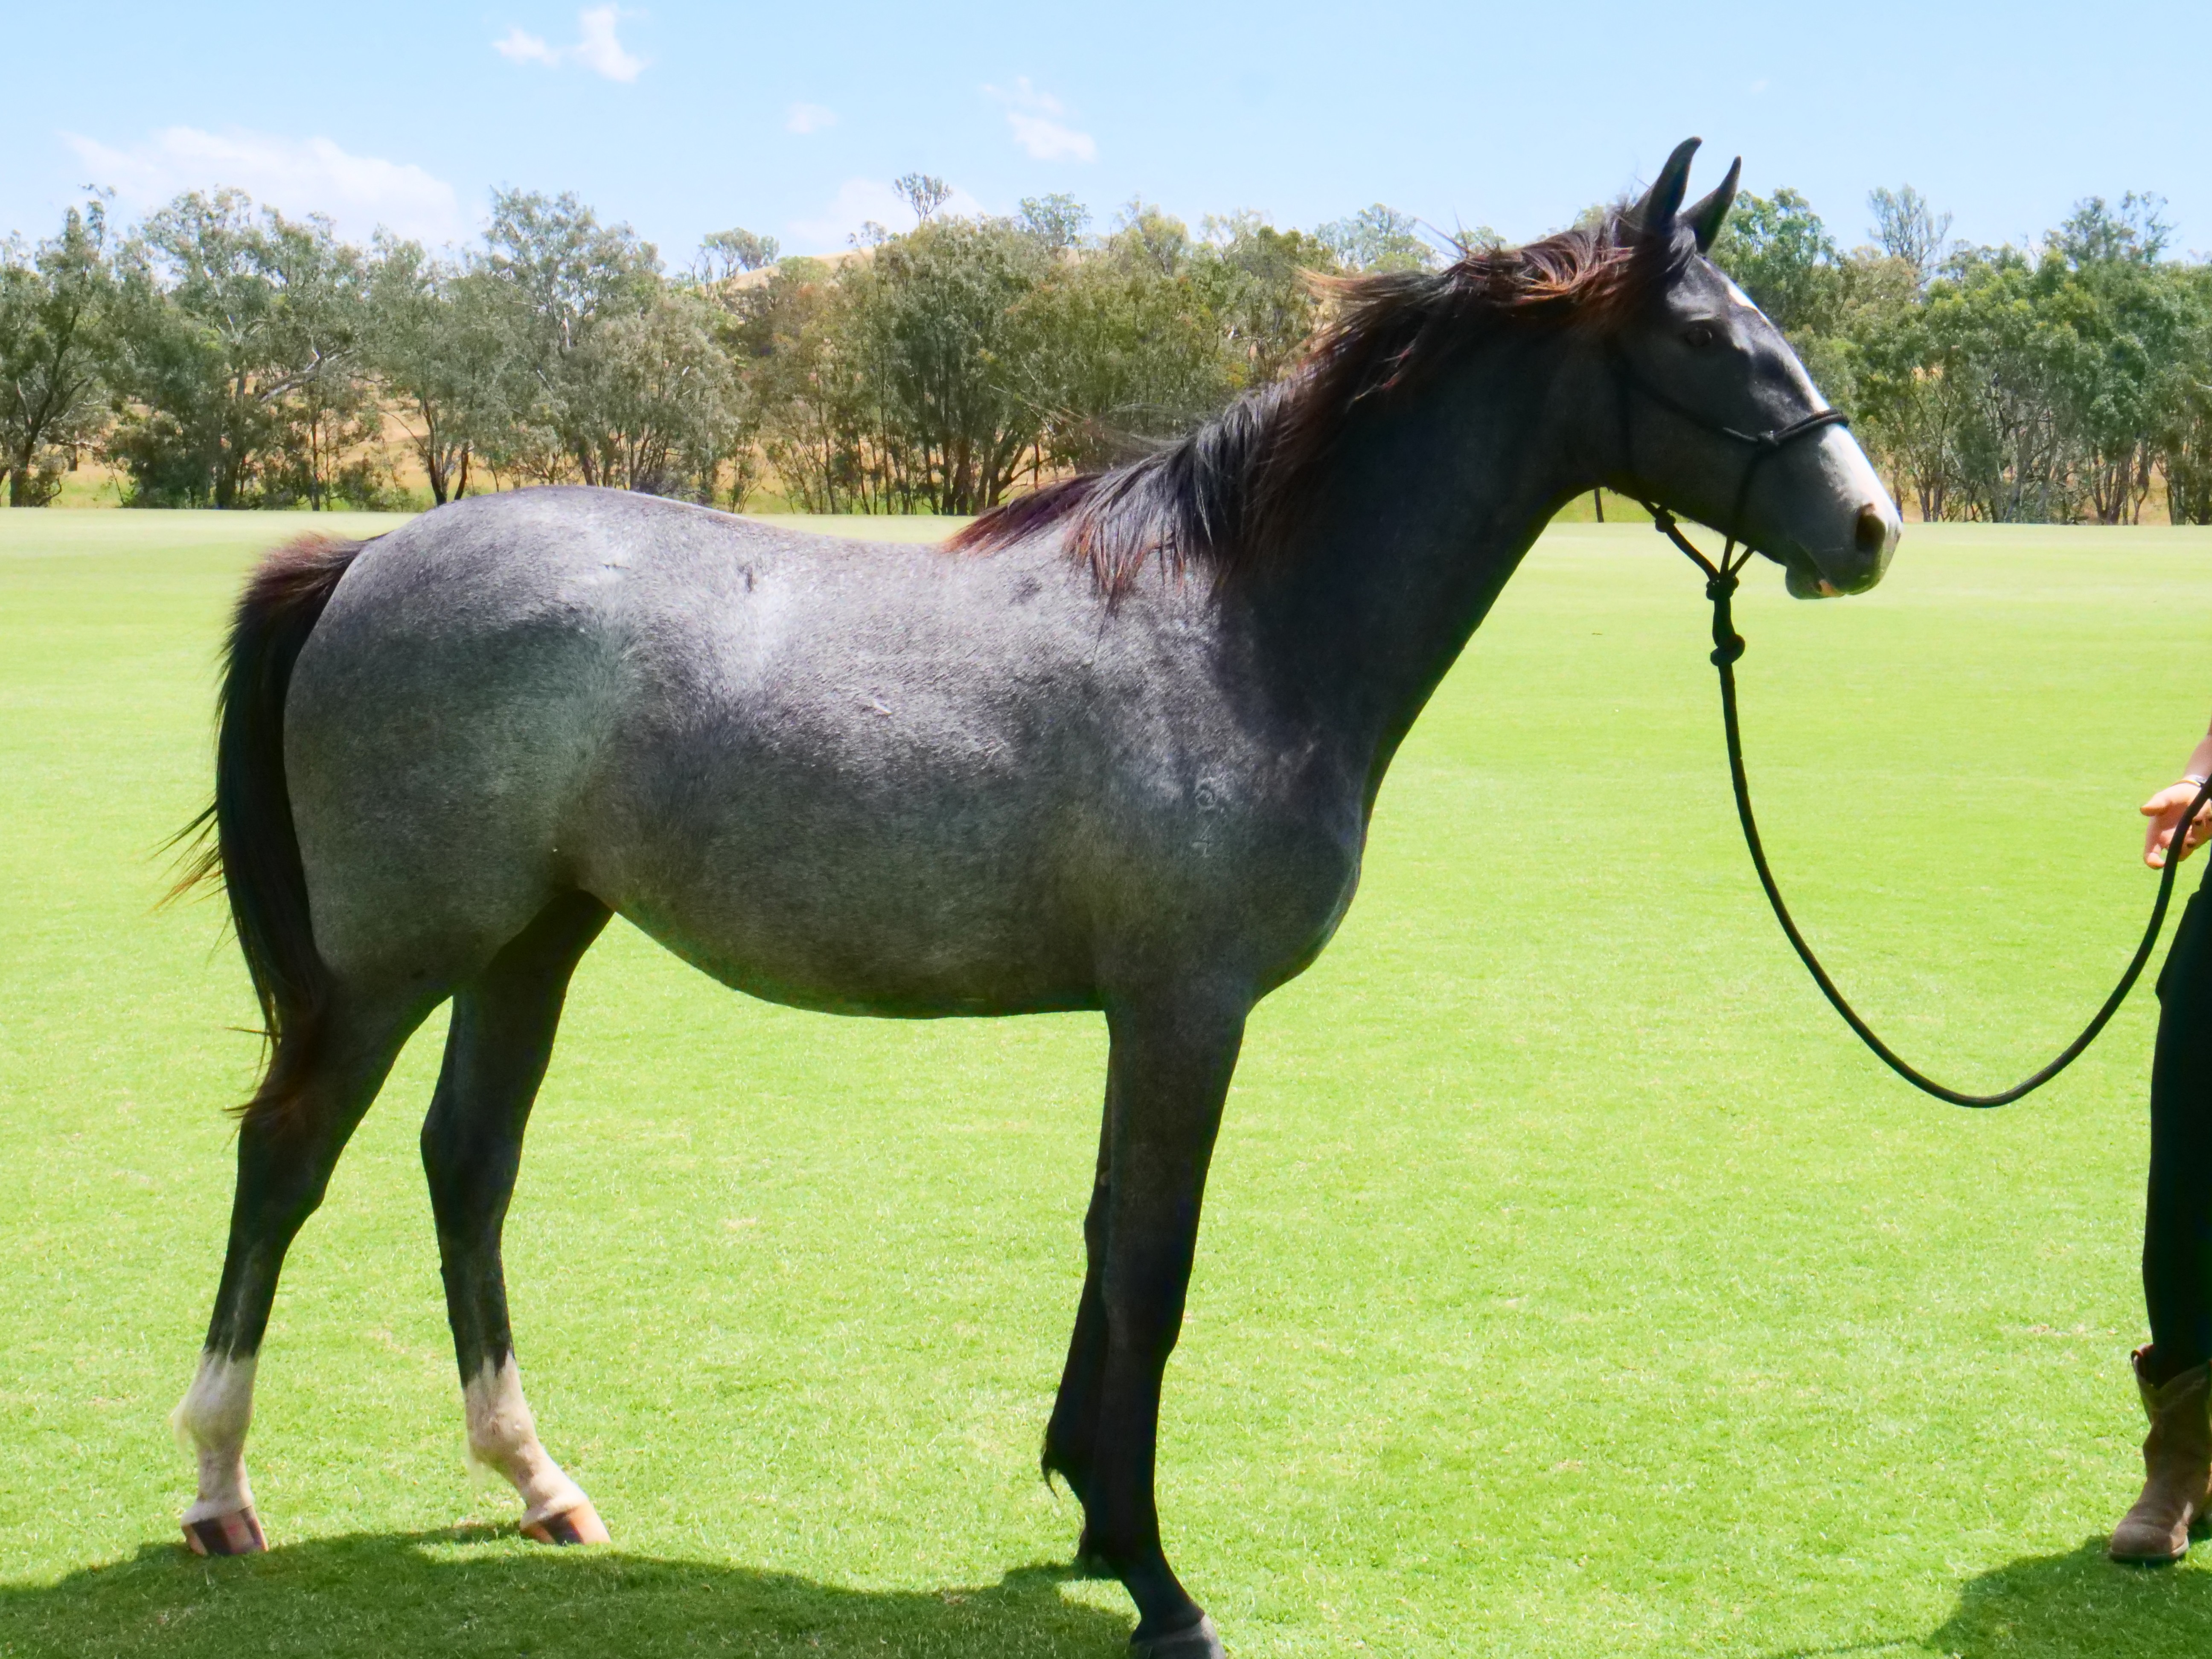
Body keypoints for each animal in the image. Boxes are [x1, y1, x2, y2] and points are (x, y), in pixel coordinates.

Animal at [170, 139, 1898, 1656]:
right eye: (1703, 336)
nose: (1871, 525)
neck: (1244, 619)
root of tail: (370, 553)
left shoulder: (1146, 1014)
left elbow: (1105, 1235)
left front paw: (1085, 1504)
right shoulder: (1188, 1010)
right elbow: (1153, 1264)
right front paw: (1153, 1572)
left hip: (534, 939)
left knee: (467, 1163)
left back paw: (537, 1480)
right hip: (396, 963)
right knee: (285, 1156)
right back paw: (218, 1485)